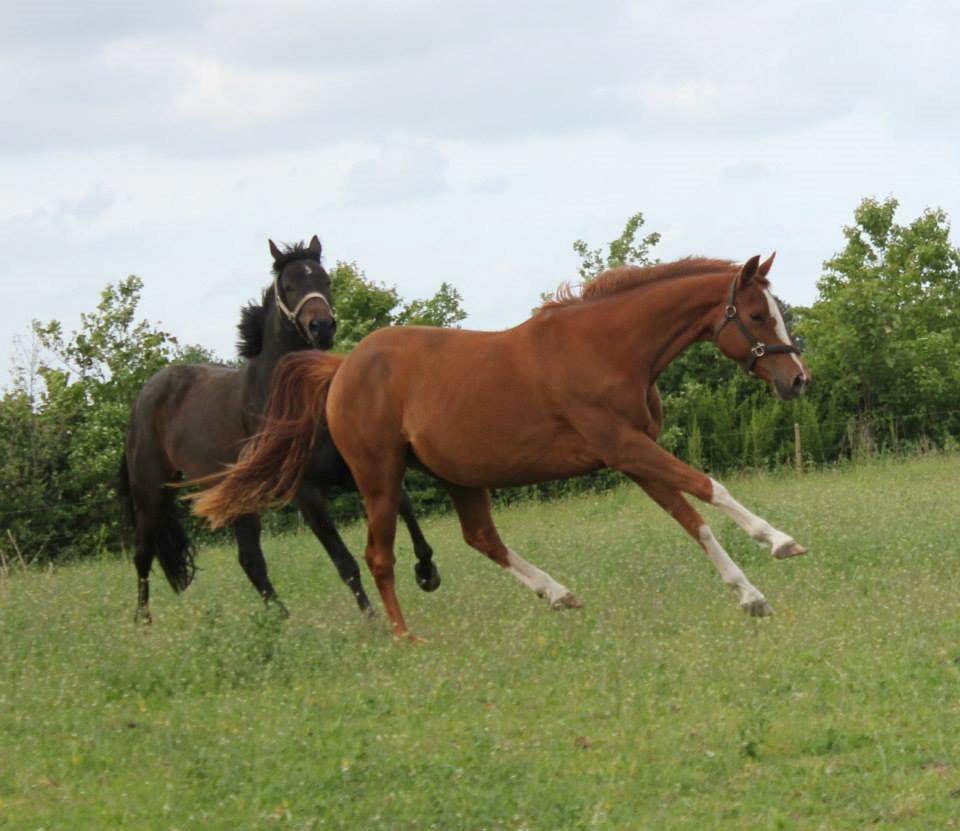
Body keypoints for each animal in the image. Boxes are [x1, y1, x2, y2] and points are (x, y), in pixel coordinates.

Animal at [117, 237, 438, 620]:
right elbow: (344, 561)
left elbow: (403, 503)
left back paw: (280, 618)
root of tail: (142, 399)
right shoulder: (307, 491)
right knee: (143, 555)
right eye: (289, 286)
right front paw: (373, 619)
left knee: (250, 560)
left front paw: (427, 572)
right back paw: (143, 623)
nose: (322, 328)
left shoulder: (353, 468)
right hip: (151, 495)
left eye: (326, 280)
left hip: (235, 499)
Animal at [195, 256, 808, 640]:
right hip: (379, 477)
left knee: (480, 537)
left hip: (457, 475)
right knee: (377, 557)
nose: (796, 379)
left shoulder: (635, 455)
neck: (607, 347)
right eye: (758, 315)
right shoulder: (625, 448)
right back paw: (407, 637)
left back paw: (559, 595)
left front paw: (750, 596)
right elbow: (710, 489)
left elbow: (691, 519)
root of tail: (342, 366)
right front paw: (781, 542)